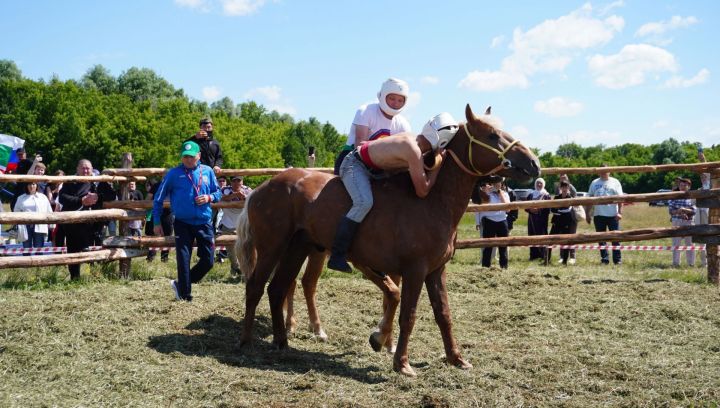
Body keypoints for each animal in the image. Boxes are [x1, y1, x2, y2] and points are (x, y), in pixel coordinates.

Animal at [236, 104, 540, 376]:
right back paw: (246, 341)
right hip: (272, 249)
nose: (534, 163)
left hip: (297, 249)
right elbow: (409, 314)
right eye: (491, 135)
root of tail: (261, 189)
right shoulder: (414, 271)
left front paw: (456, 358)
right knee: (255, 288)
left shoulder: (435, 271)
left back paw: (281, 341)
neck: (432, 201)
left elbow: (443, 314)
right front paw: (401, 363)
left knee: (277, 289)